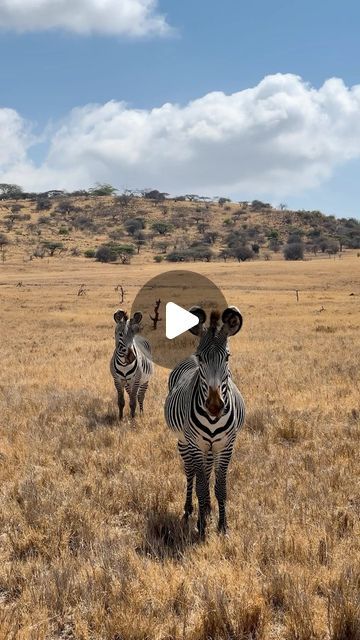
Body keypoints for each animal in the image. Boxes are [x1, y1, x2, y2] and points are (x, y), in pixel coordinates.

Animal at [165, 304, 245, 536]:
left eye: (227, 357)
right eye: (202, 358)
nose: (215, 406)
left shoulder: (226, 445)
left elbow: (220, 486)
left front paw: (222, 525)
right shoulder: (196, 444)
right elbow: (200, 485)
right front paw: (200, 526)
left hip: (211, 447)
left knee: (207, 470)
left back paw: (208, 508)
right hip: (184, 442)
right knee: (191, 472)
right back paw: (189, 510)